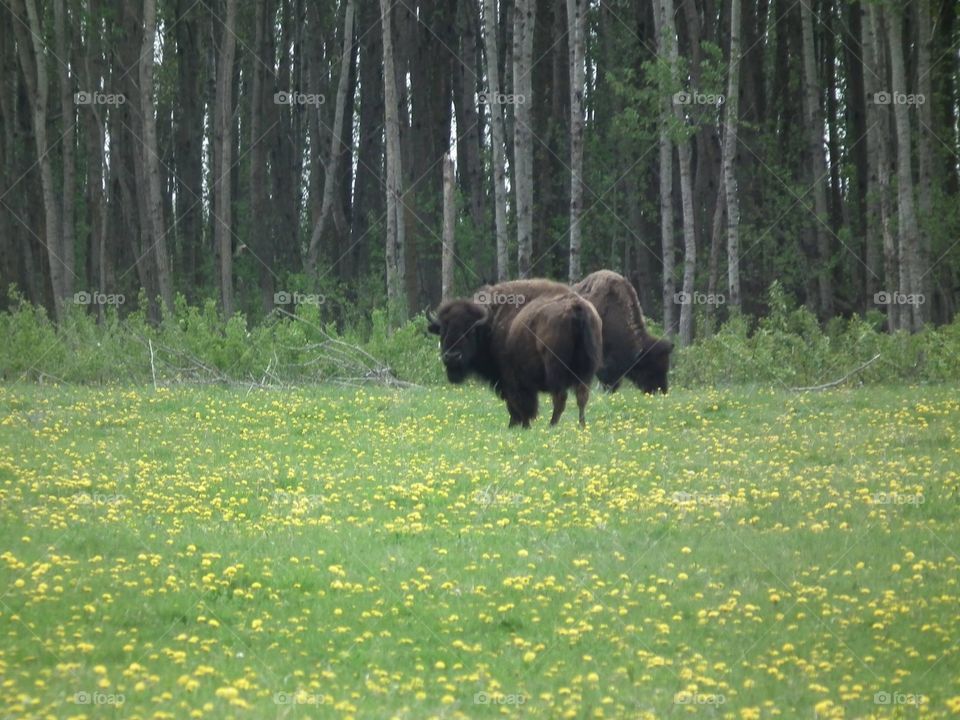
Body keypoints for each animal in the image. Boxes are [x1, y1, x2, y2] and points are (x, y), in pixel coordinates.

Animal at [427, 280, 602, 427]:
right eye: (442, 330)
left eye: (469, 331)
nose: (452, 357)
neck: (490, 324)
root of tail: (576, 307)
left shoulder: (510, 379)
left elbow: (517, 404)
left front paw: (518, 425)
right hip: (586, 371)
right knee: (582, 397)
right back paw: (581, 426)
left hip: (555, 370)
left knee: (560, 398)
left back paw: (551, 426)